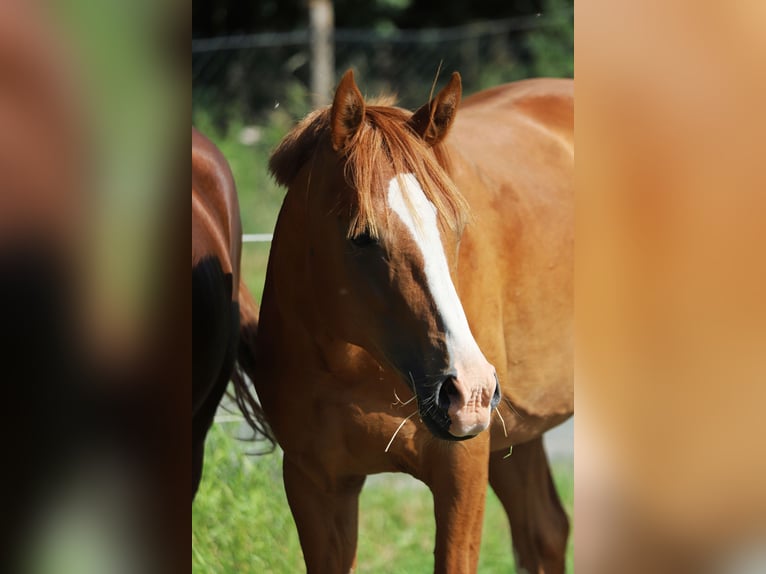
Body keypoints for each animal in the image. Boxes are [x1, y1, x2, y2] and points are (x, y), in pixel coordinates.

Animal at [255, 73, 572, 574]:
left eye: (456, 226)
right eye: (361, 236)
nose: (469, 390)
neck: (358, 368)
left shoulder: (461, 468)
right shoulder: (315, 487)